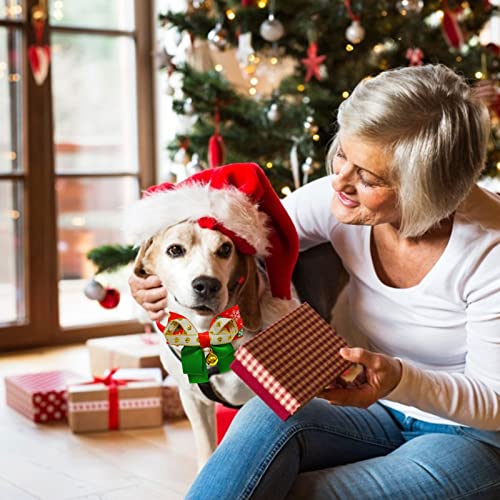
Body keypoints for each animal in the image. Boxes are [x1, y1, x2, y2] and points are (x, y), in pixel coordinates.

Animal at [125, 164, 298, 468]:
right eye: (175, 250)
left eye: (226, 249)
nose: (206, 284)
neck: (206, 334)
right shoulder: (193, 400)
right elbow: (207, 450)